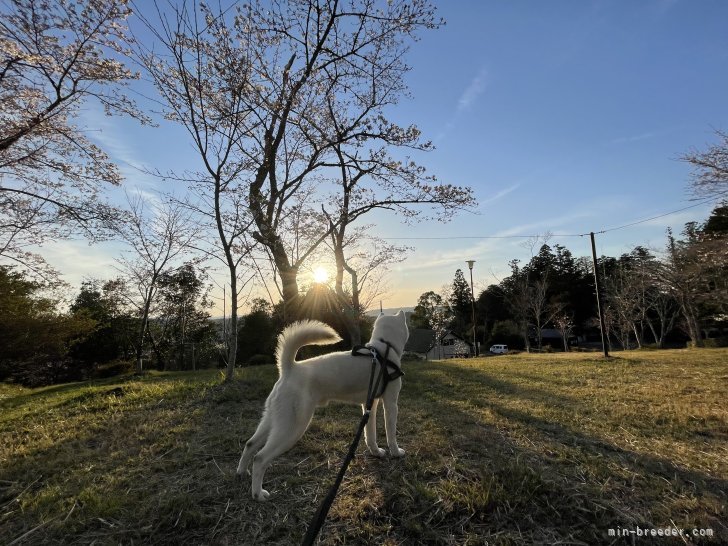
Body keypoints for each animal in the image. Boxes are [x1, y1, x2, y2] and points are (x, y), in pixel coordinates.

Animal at [237, 308, 410, 500]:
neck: (383, 350)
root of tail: (289, 368)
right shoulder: (391, 404)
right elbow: (391, 434)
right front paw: (396, 453)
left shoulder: (369, 405)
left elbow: (370, 434)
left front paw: (376, 452)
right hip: (292, 428)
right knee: (260, 458)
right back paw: (258, 494)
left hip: (274, 420)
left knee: (250, 444)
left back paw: (242, 472)